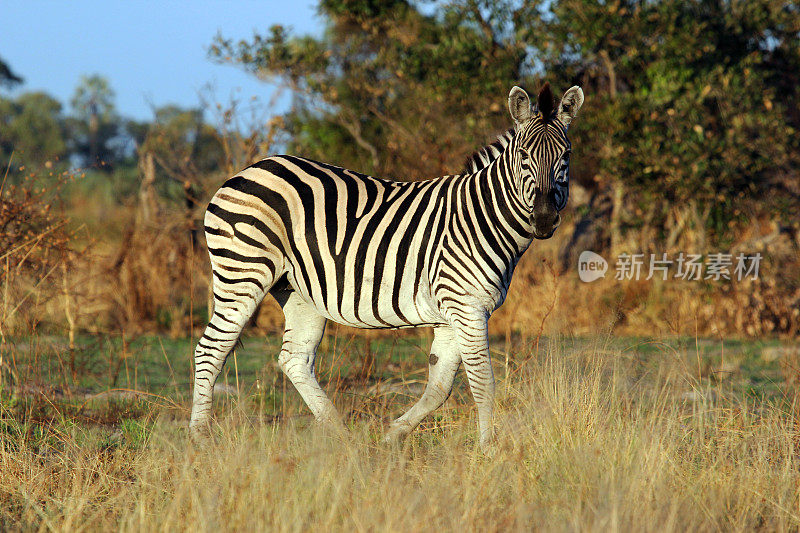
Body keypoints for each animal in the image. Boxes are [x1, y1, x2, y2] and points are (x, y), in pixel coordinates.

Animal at [191, 83, 584, 448]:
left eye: (565, 155)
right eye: (524, 155)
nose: (544, 219)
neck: (483, 217)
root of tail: (247, 170)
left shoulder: (453, 314)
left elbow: (440, 386)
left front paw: (393, 436)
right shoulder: (467, 307)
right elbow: (483, 383)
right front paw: (489, 451)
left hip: (298, 290)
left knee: (294, 359)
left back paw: (342, 437)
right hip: (242, 273)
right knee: (210, 350)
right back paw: (201, 440)